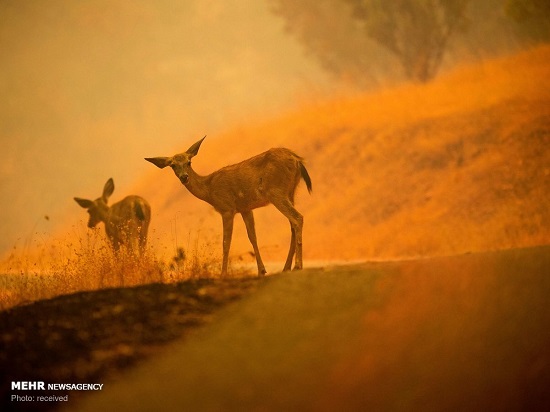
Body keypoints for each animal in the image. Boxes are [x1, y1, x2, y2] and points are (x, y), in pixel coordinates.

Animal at [144, 136, 312, 276]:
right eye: (172, 165)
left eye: (188, 162)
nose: (184, 177)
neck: (209, 189)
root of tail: (297, 160)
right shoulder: (245, 208)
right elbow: (253, 237)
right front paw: (262, 270)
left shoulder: (227, 208)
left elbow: (226, 242)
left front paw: (223, 274)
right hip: (290, 192)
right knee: (292, 225)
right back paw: (287, 267)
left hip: (276, 192)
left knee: (297, 218)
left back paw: (298, 265)